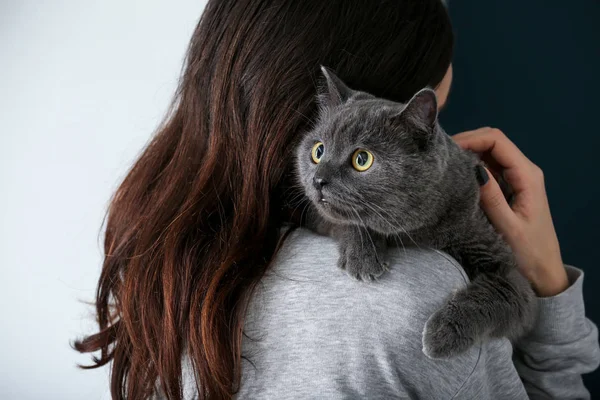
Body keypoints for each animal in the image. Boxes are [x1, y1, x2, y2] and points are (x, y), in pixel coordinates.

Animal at [298, 66, 536, 360]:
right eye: (318, 151)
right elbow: (345, 219)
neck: (419, 232)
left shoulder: (501, 260)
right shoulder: (312, 212)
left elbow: (505, 292)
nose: (318, 180)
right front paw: (363, 257)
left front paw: (443, 333)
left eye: (362, 159)